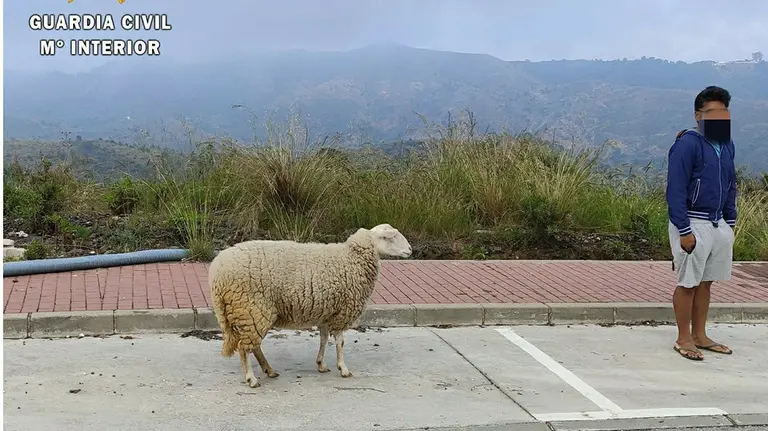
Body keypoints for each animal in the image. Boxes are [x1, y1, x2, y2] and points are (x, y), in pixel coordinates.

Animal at [208, 223, 412, 388]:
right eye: (392, 237)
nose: (410, 250)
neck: (351, 258)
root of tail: (217, 274)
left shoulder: (327, 311)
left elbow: (323, 339)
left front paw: (321, 364)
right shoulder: (342, 311)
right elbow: (340, 342)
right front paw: (343, 368)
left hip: (252, 312)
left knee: (254, 346)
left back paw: (269, 370)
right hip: (252, 308)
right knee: (245, 348)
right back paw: (252, 379)